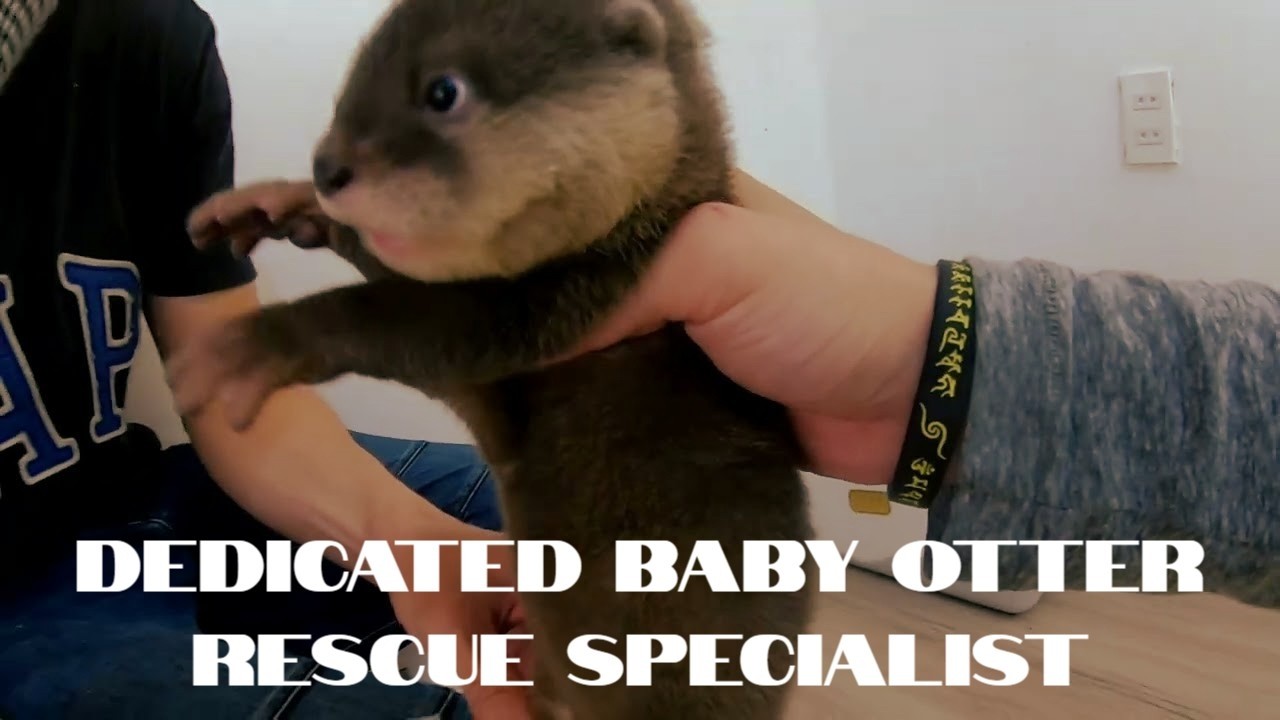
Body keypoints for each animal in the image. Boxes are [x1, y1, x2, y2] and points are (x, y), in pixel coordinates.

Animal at [175, 0, 816, 717]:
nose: (327, 168)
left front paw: (255, 344)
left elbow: (399, 320)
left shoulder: (553, 310)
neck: (633, 236)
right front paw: (278, 204)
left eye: (442, 92)